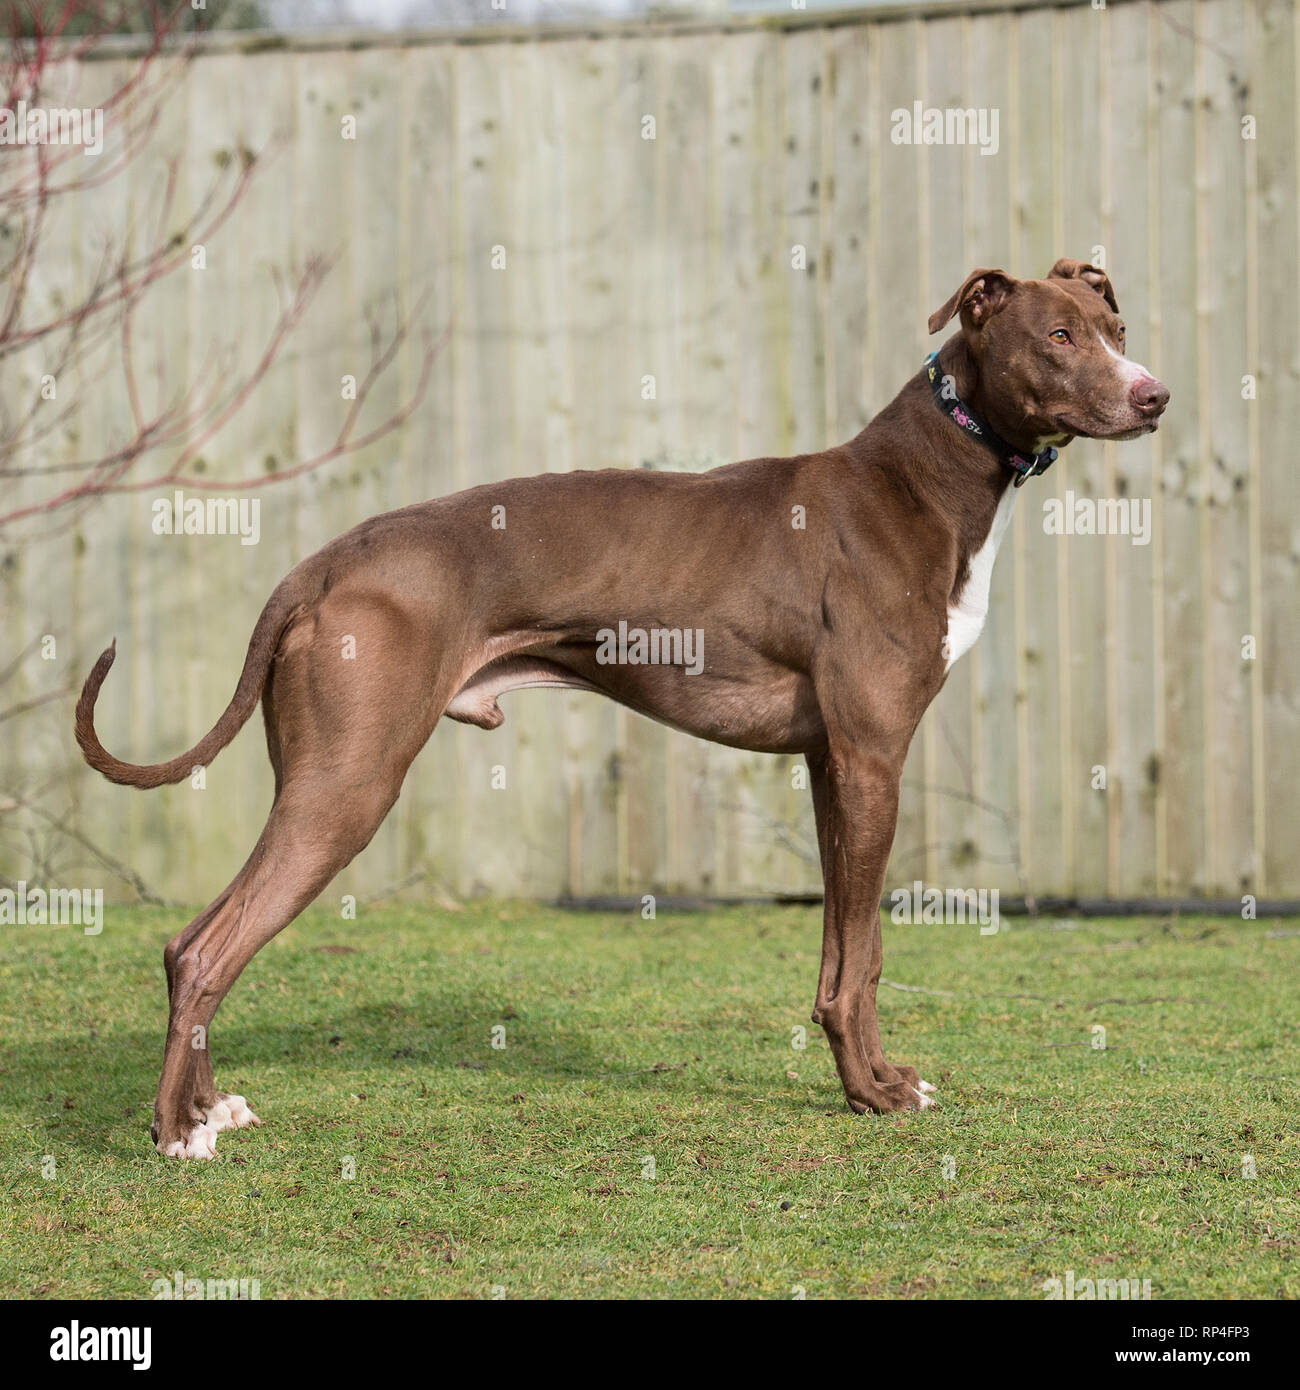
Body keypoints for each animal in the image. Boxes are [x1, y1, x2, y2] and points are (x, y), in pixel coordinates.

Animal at [73, 255, 1167, 1156]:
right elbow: (861, 960)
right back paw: (177, 1133)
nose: (1155, 394)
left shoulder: (833, 765)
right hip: (348, 784)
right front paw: (873, 1096)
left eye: (1115, 324)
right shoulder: (872, 759)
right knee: (207, 946)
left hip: (316, 777)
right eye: (1057, 336)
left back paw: (208, 1108)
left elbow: (848, 958)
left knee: (194, 942)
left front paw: (877, 1078)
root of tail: (321, 562)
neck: (920, 479)